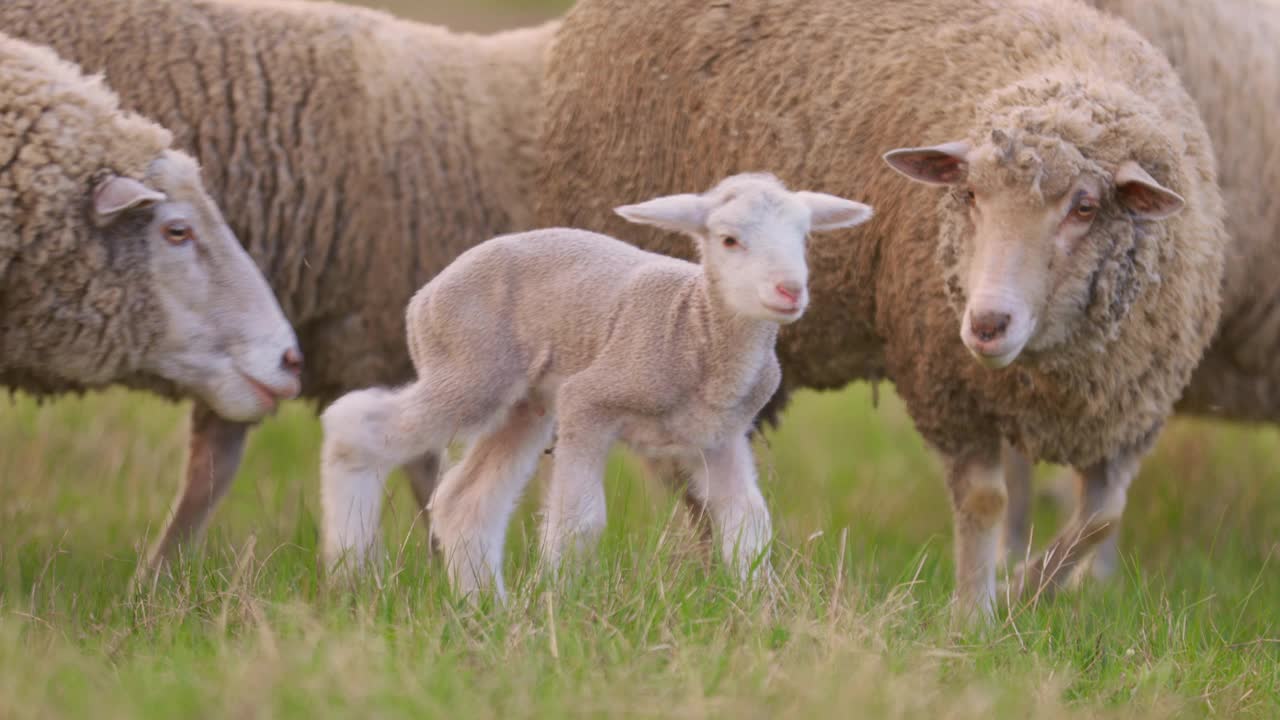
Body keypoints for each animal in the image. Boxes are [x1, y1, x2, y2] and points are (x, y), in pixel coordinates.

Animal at [320, 174, 875, 594]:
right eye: (729, 240)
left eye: (805, 238)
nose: (790, 290)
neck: (696, 327)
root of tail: (425, 296)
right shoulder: (589, 402)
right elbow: (579, 522)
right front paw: (557, 605)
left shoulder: (720, 437)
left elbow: (749, 526)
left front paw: (761, 613)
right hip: (468, 369)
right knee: (354, 426)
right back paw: (352, 575)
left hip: (524, 404)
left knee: (464, 501)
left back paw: (485, 609)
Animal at [532, 0, 1228, 617]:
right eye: (967, 194)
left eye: (1085, 207)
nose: (986, 324)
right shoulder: (948, 384)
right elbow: (984, 503)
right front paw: (975, 616)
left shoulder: (1128, 412)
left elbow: (1101, 519)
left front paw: (1022, 595)